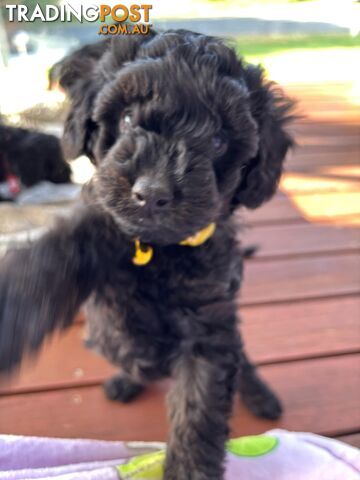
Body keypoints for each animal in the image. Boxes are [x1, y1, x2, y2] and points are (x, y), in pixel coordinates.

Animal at [0, 31, 292, 480]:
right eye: (126, 120)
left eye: (219, 140)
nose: (152, 193)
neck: (158, 250)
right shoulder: (100, 224)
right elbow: (54, 256)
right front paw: (10, 317)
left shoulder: (209, 328)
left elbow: (199, 412)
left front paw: (189, 469)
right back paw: (126, 379)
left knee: (242, 359)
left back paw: (259, 394)